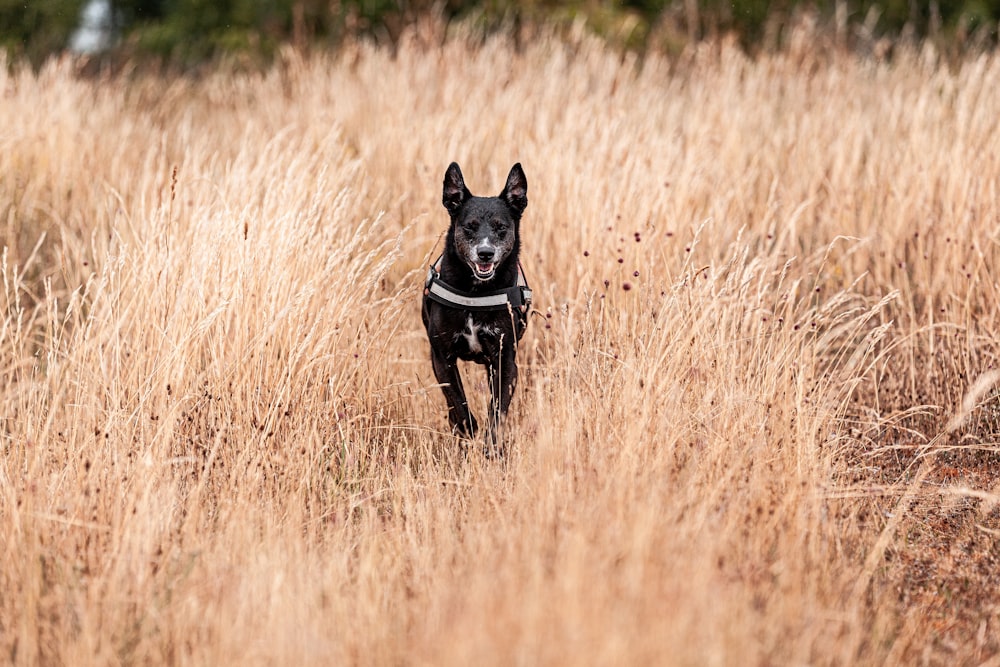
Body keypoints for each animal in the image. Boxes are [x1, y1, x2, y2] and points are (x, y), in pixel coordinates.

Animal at [420, 163, 532, 454]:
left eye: (501, 227)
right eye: (469, 227)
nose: (485, 253)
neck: (475, 291)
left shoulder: (504, 360)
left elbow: (497, 410)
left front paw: (492, 450)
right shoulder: (442, 358)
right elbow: (458, 404)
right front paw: (466, 436)